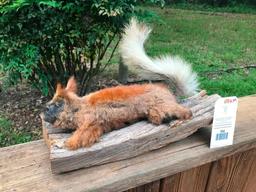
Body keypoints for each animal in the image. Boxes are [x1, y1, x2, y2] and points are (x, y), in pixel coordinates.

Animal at [41, 18, 198, 150]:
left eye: (52, 107)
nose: (42, 112)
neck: (78, 107)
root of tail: (167, 91)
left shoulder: (90, 123)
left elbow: (80, 136)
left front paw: (66, 143)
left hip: (163, 106)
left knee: (186, 111)